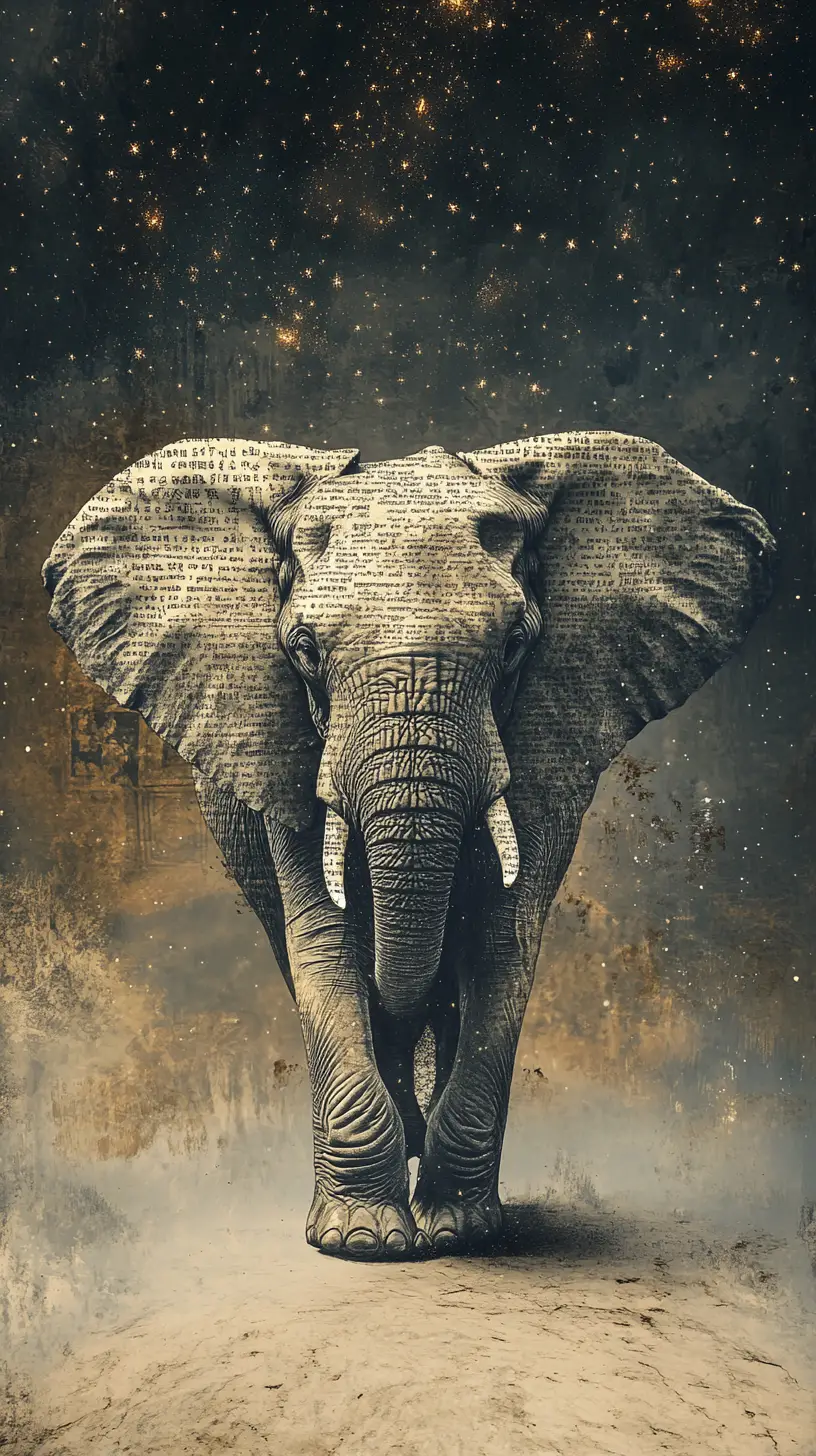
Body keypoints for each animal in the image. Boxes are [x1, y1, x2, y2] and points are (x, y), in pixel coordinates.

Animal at [43, 430, 775, 1260]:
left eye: (515, 645)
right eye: (303, 649)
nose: (419, 1142)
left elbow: (499, 943)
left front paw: (457, 1232)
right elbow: (326, 947)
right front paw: (362, 1242)